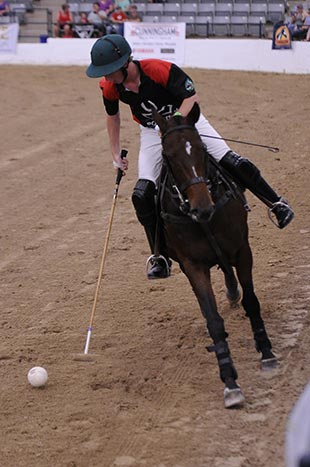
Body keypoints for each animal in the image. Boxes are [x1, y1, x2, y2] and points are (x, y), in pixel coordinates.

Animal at [154, 103, 278, 410]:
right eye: (167, 155)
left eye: (200, 147)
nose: (203, 208)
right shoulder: (193, 266)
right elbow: (213, 321)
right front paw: (230, 382)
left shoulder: (243, 250)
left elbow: (252, 302)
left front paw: (267, 353)